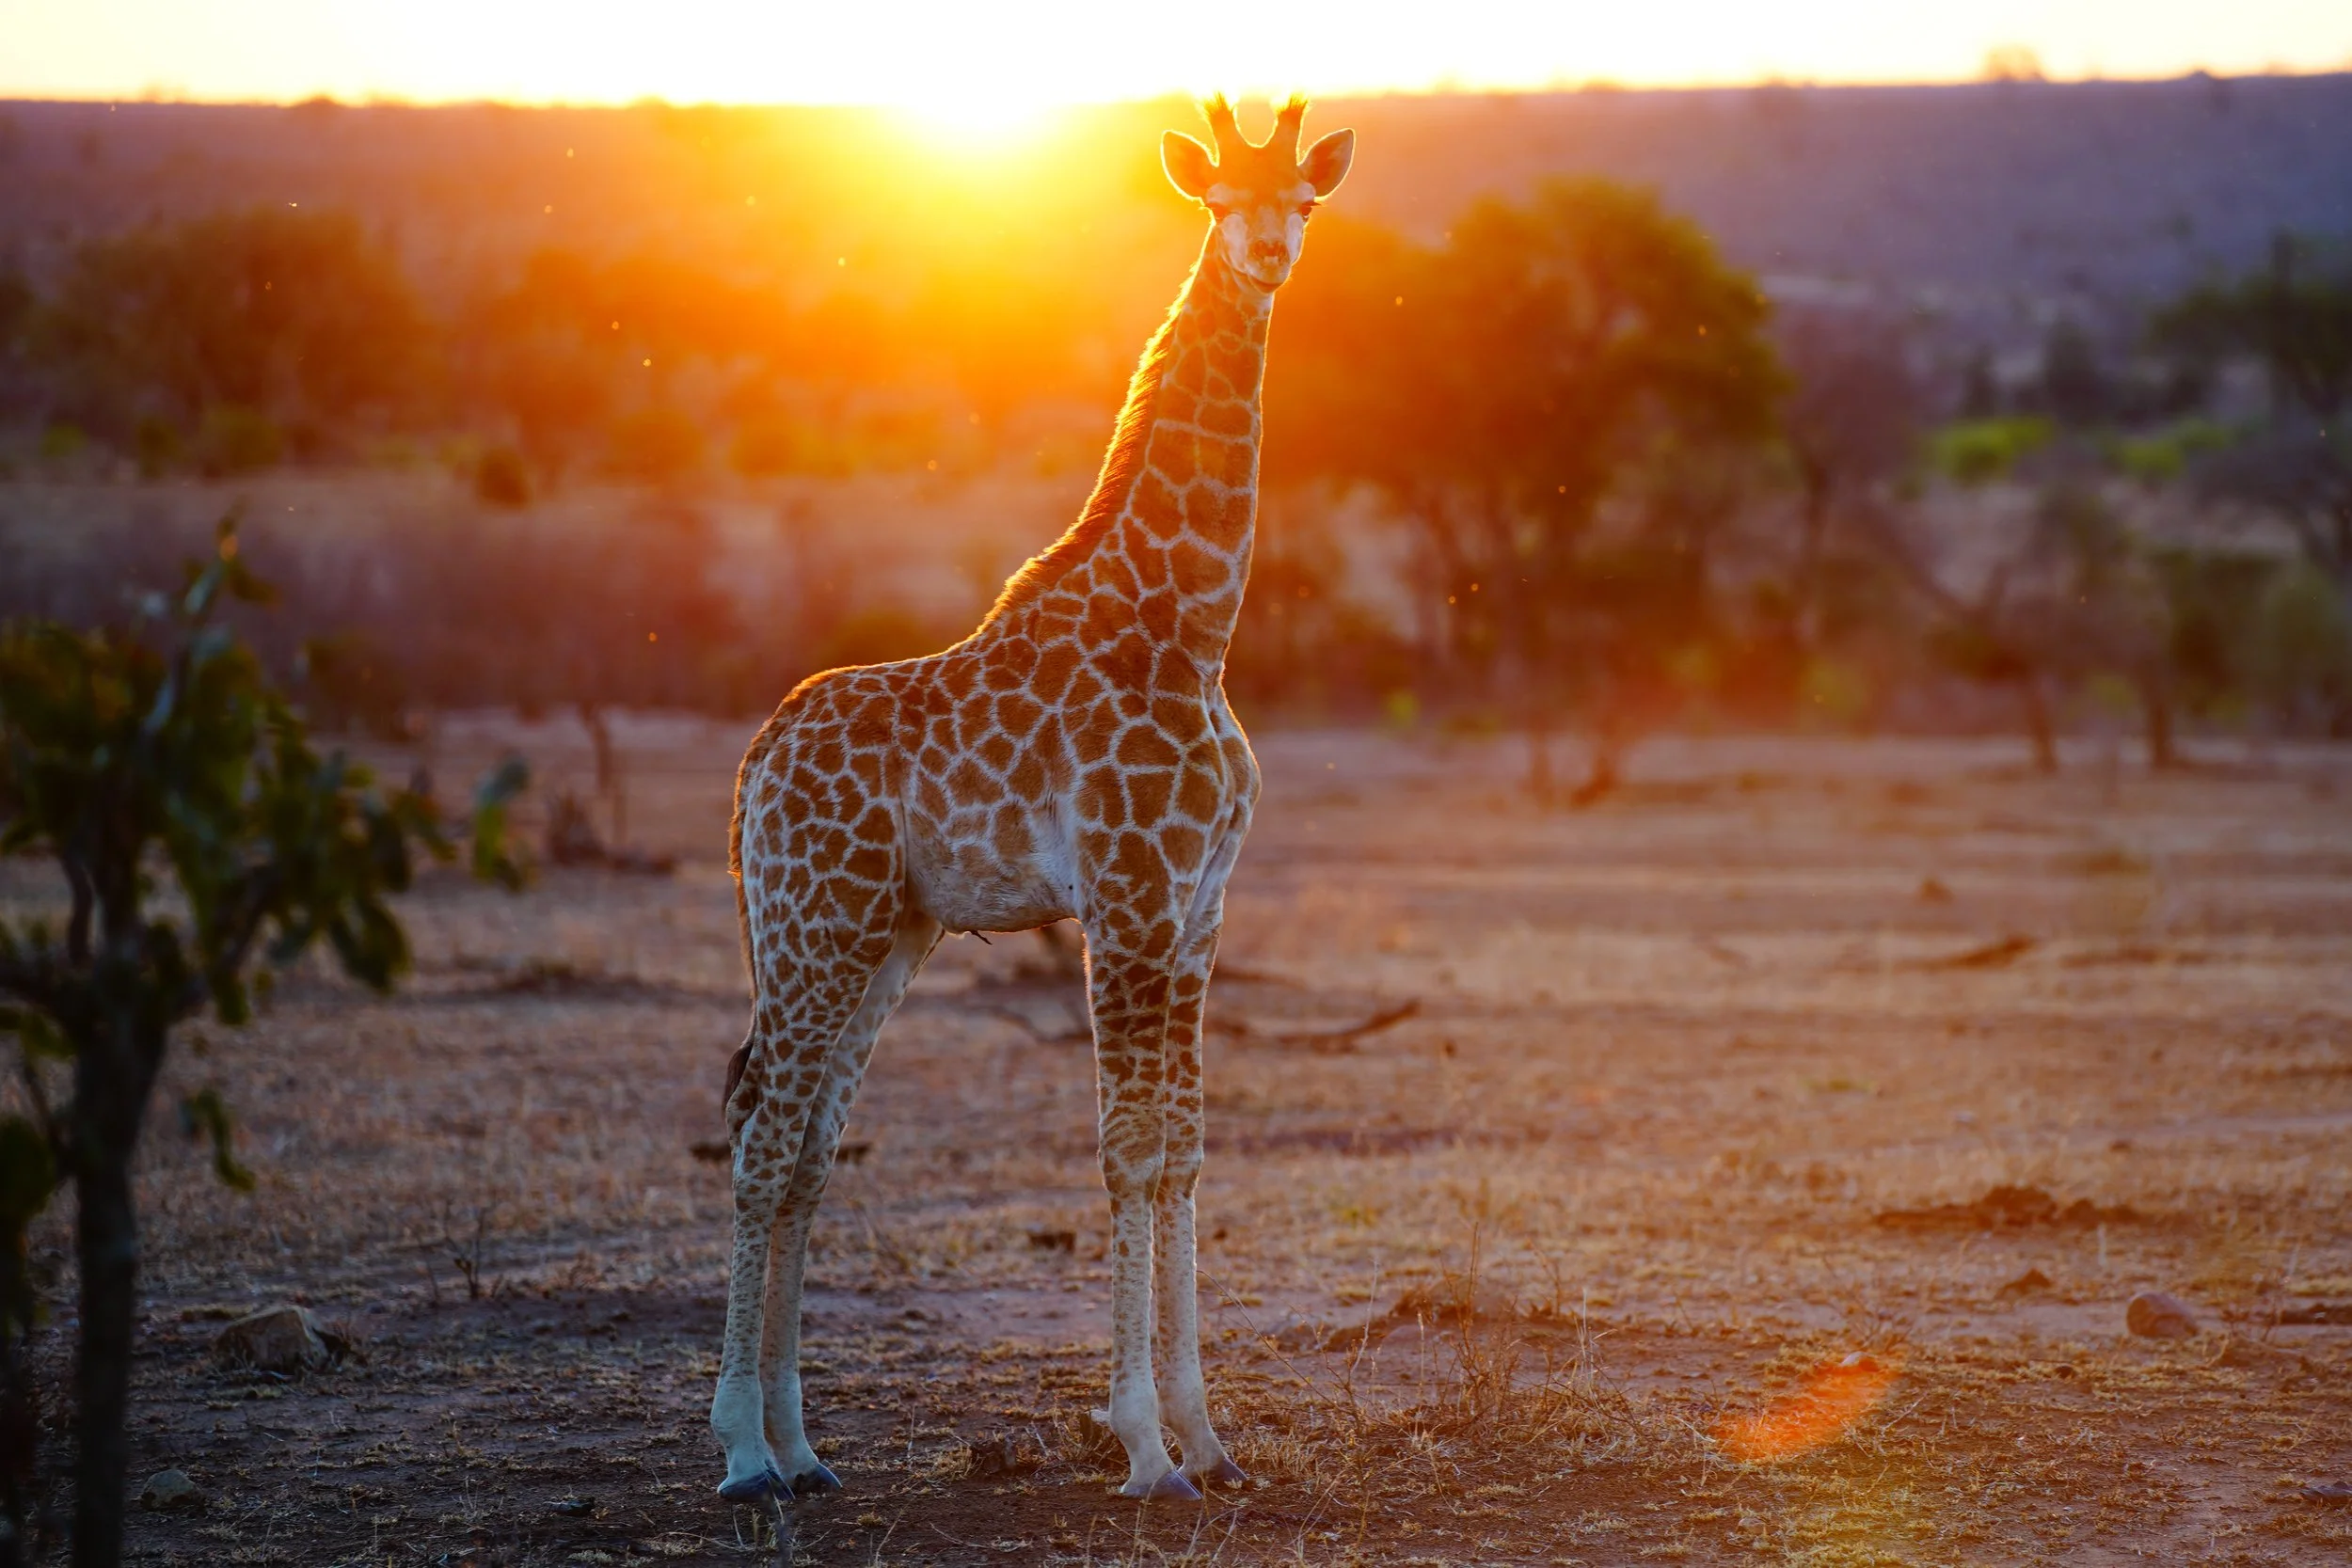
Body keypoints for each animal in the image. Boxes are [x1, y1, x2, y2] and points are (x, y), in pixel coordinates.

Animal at [712, 96, 1355, 1505]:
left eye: (1303, 200)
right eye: (1218, 199)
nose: (1269, 254)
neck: (1190, 627)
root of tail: (753, 765)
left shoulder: (1199, 911)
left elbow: (1185, 1149)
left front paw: (1209, 1436)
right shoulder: (1125, 896)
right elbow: (1126, 1147)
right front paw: (1143, 1447)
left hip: (880, 935)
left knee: (807, 1147)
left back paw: (802, 1445)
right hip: (811, 926)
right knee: (762, 1135)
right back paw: (738, 1449)